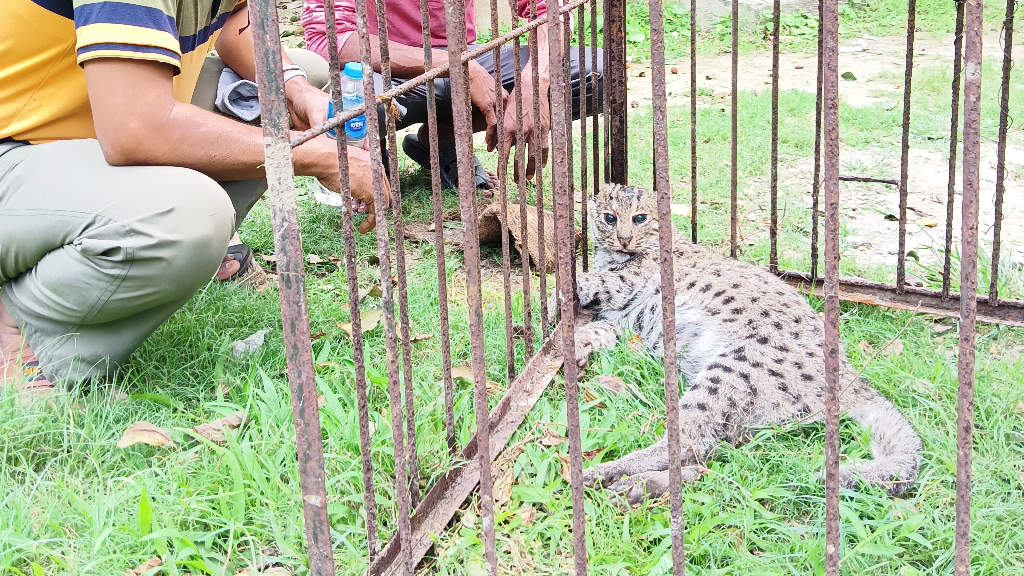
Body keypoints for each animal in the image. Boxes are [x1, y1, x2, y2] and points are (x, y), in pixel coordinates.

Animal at [557, 181, 925, 504]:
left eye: (639, 218)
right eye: (610, 218)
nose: (624, 239)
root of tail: (854, 378)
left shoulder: (629, 284)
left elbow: (594, 279)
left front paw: (562, 291)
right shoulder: (620, 320)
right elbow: (596, 328)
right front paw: (574, 346)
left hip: (730, 369)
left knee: (689, 442)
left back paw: (609, 477)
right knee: (710, 456)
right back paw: (637, 487)